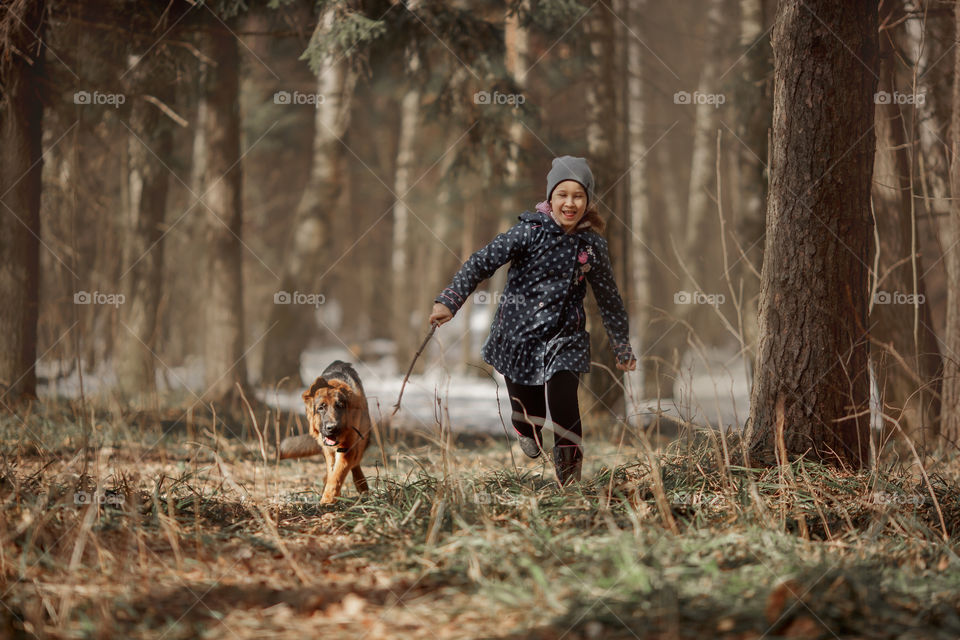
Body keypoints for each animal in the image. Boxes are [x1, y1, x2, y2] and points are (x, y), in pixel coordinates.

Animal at [278, 362, 372, 502]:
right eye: (321, 408)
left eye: (339, 406)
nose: (332, 428)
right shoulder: (328, 451)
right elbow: (331, 472)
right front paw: (329, 495)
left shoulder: (347, 450)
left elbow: (337, 476)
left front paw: (327, 500)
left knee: (356, 463)